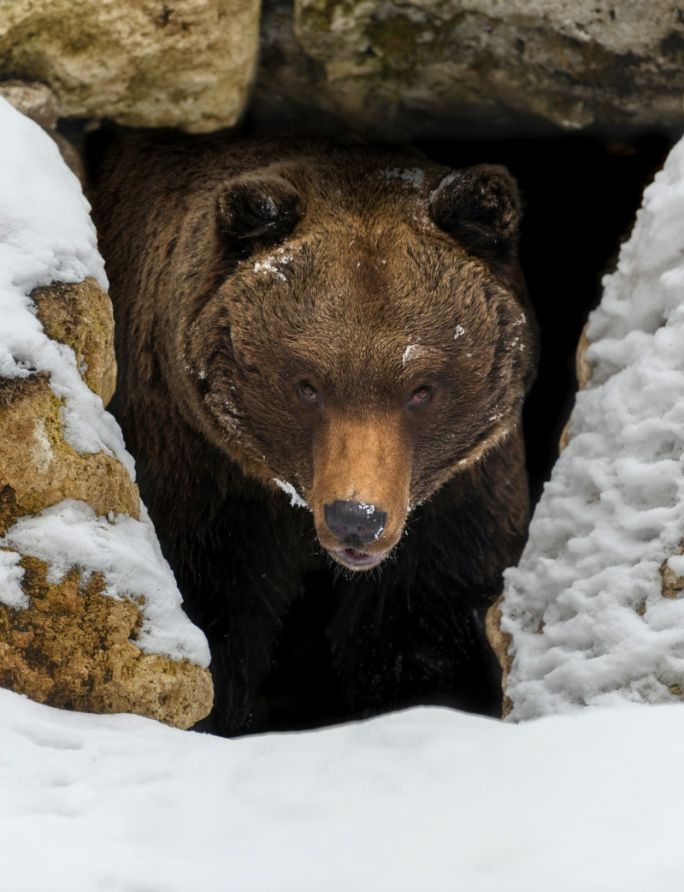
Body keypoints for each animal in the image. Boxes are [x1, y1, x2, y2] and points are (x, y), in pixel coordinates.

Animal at [91, 132, 540, 732]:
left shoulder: (458, 503)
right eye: (307, 385)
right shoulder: (203, 476)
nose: (357, 517)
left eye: (421, 389)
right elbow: (211, 612)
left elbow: (421, 634)